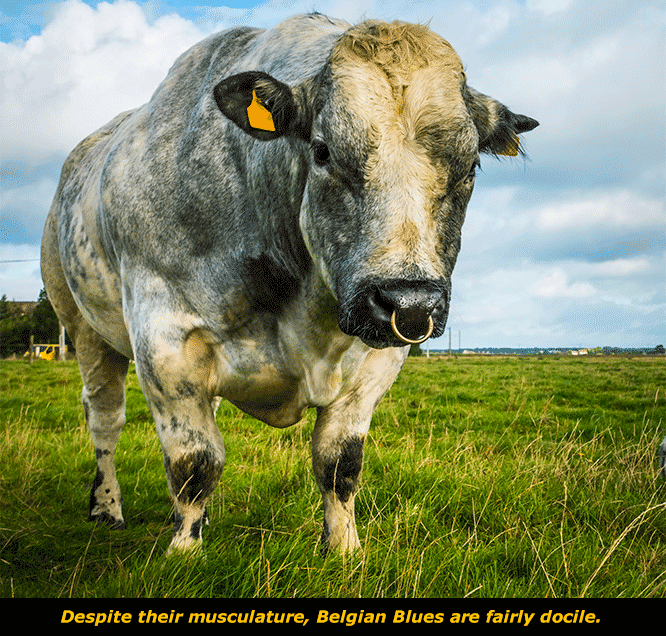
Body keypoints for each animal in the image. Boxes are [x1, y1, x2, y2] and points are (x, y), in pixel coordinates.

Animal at [41, 12, 536, 556]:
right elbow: (195, 462)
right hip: (82, 325)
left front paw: (345, 549)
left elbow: (339, 464)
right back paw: (106, 507)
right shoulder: (166, 339)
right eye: (322, 151)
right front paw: (184, 552)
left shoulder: (378, 358)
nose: (407, 301)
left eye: (471, 166)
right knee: (105, 418)